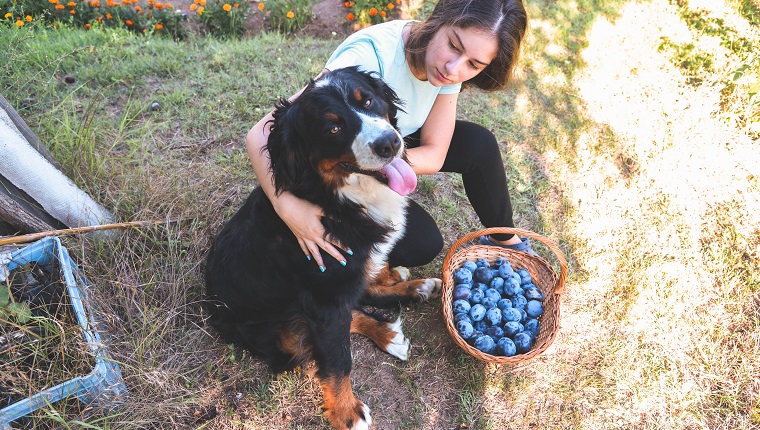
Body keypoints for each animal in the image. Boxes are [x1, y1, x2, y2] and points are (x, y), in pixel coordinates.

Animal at [205, 67, 442, 430]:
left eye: (367, 101)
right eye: (333, 128)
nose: (389, 143)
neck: (339, 199)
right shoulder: (325, 297)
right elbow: (337, 359)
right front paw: (347, 412)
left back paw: (412, 291)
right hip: (280, 331)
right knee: (320, 337)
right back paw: (391, 323)